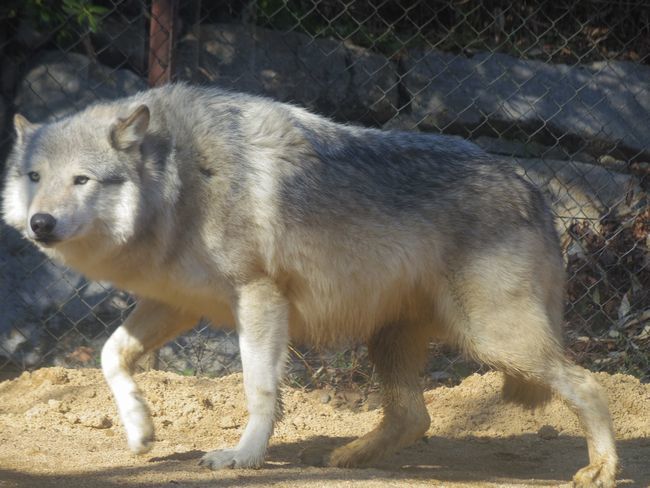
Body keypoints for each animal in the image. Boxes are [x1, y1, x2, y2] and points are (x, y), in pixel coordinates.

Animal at [1, 84, 616, 488]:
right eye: (34, 177)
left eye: (81, 180)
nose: (40, 223)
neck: (179, 181)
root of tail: (534, 190)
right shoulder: (175, 305)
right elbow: (110, 355)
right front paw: (139, 431)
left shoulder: (259, 297)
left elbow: (259, 389)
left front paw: (243, 457)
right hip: (390, 339)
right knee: (414, 417)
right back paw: (348, 460)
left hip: (494, 342)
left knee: (587, 383)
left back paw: (602, 469)